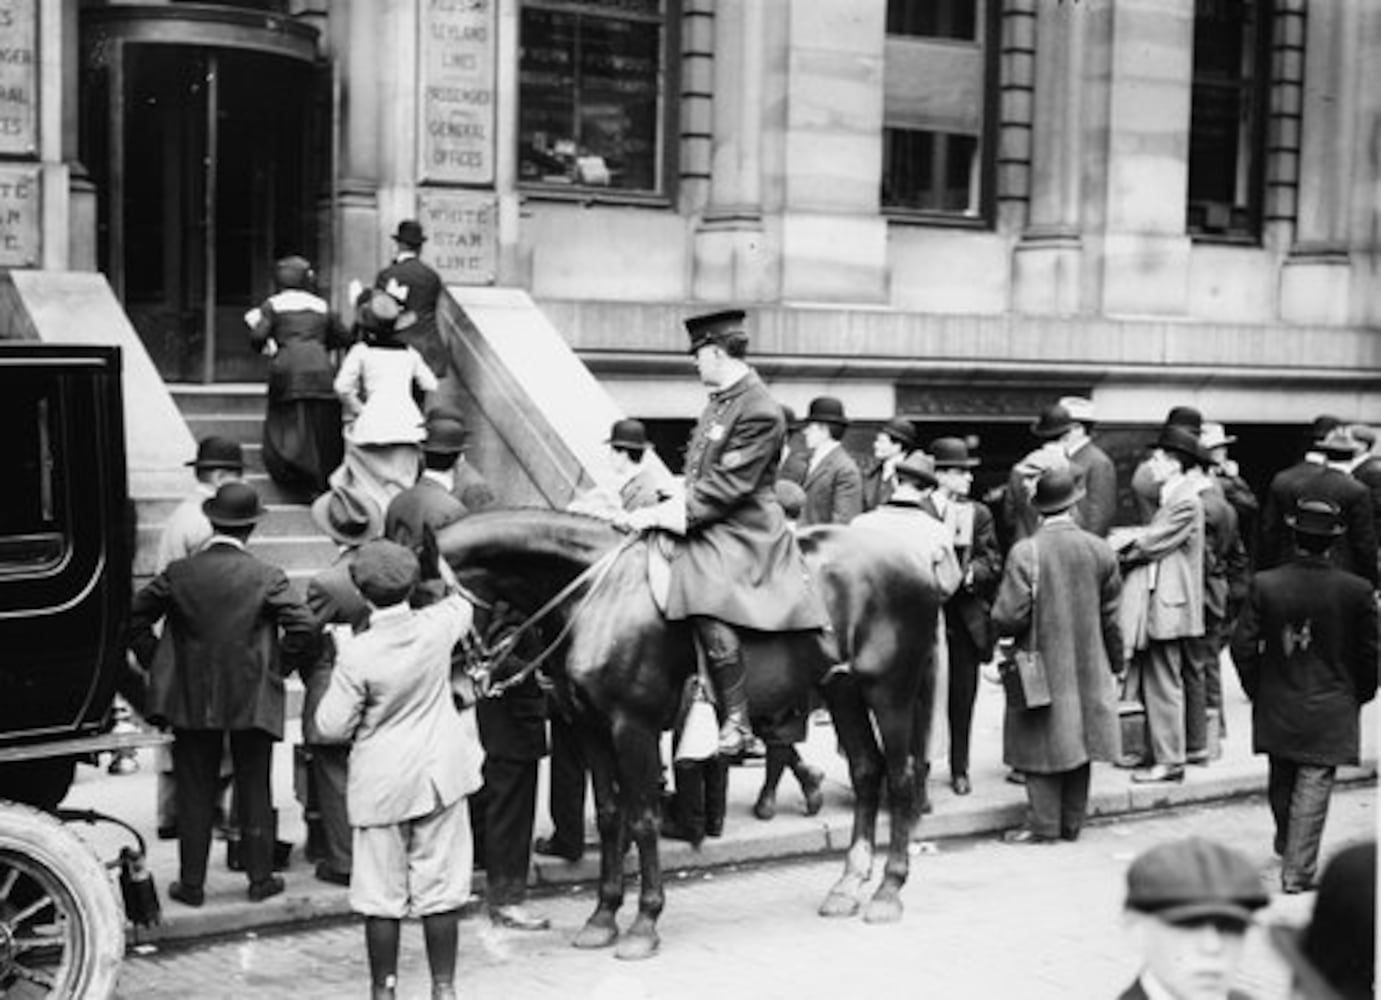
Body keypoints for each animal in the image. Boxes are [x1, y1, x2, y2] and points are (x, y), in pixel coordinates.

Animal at [436, 508, 944, 961]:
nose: (457, 692)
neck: (597, 597)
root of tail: (917, 559)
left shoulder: (632, 728)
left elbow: (643, 819)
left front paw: (644, 922)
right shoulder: (591, 729)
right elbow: (609, 815)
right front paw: (602, 916)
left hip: (890, 691)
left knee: (900, 776)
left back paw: (888, 890)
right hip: (842, 691)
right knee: (866, 770)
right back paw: (847, 884)